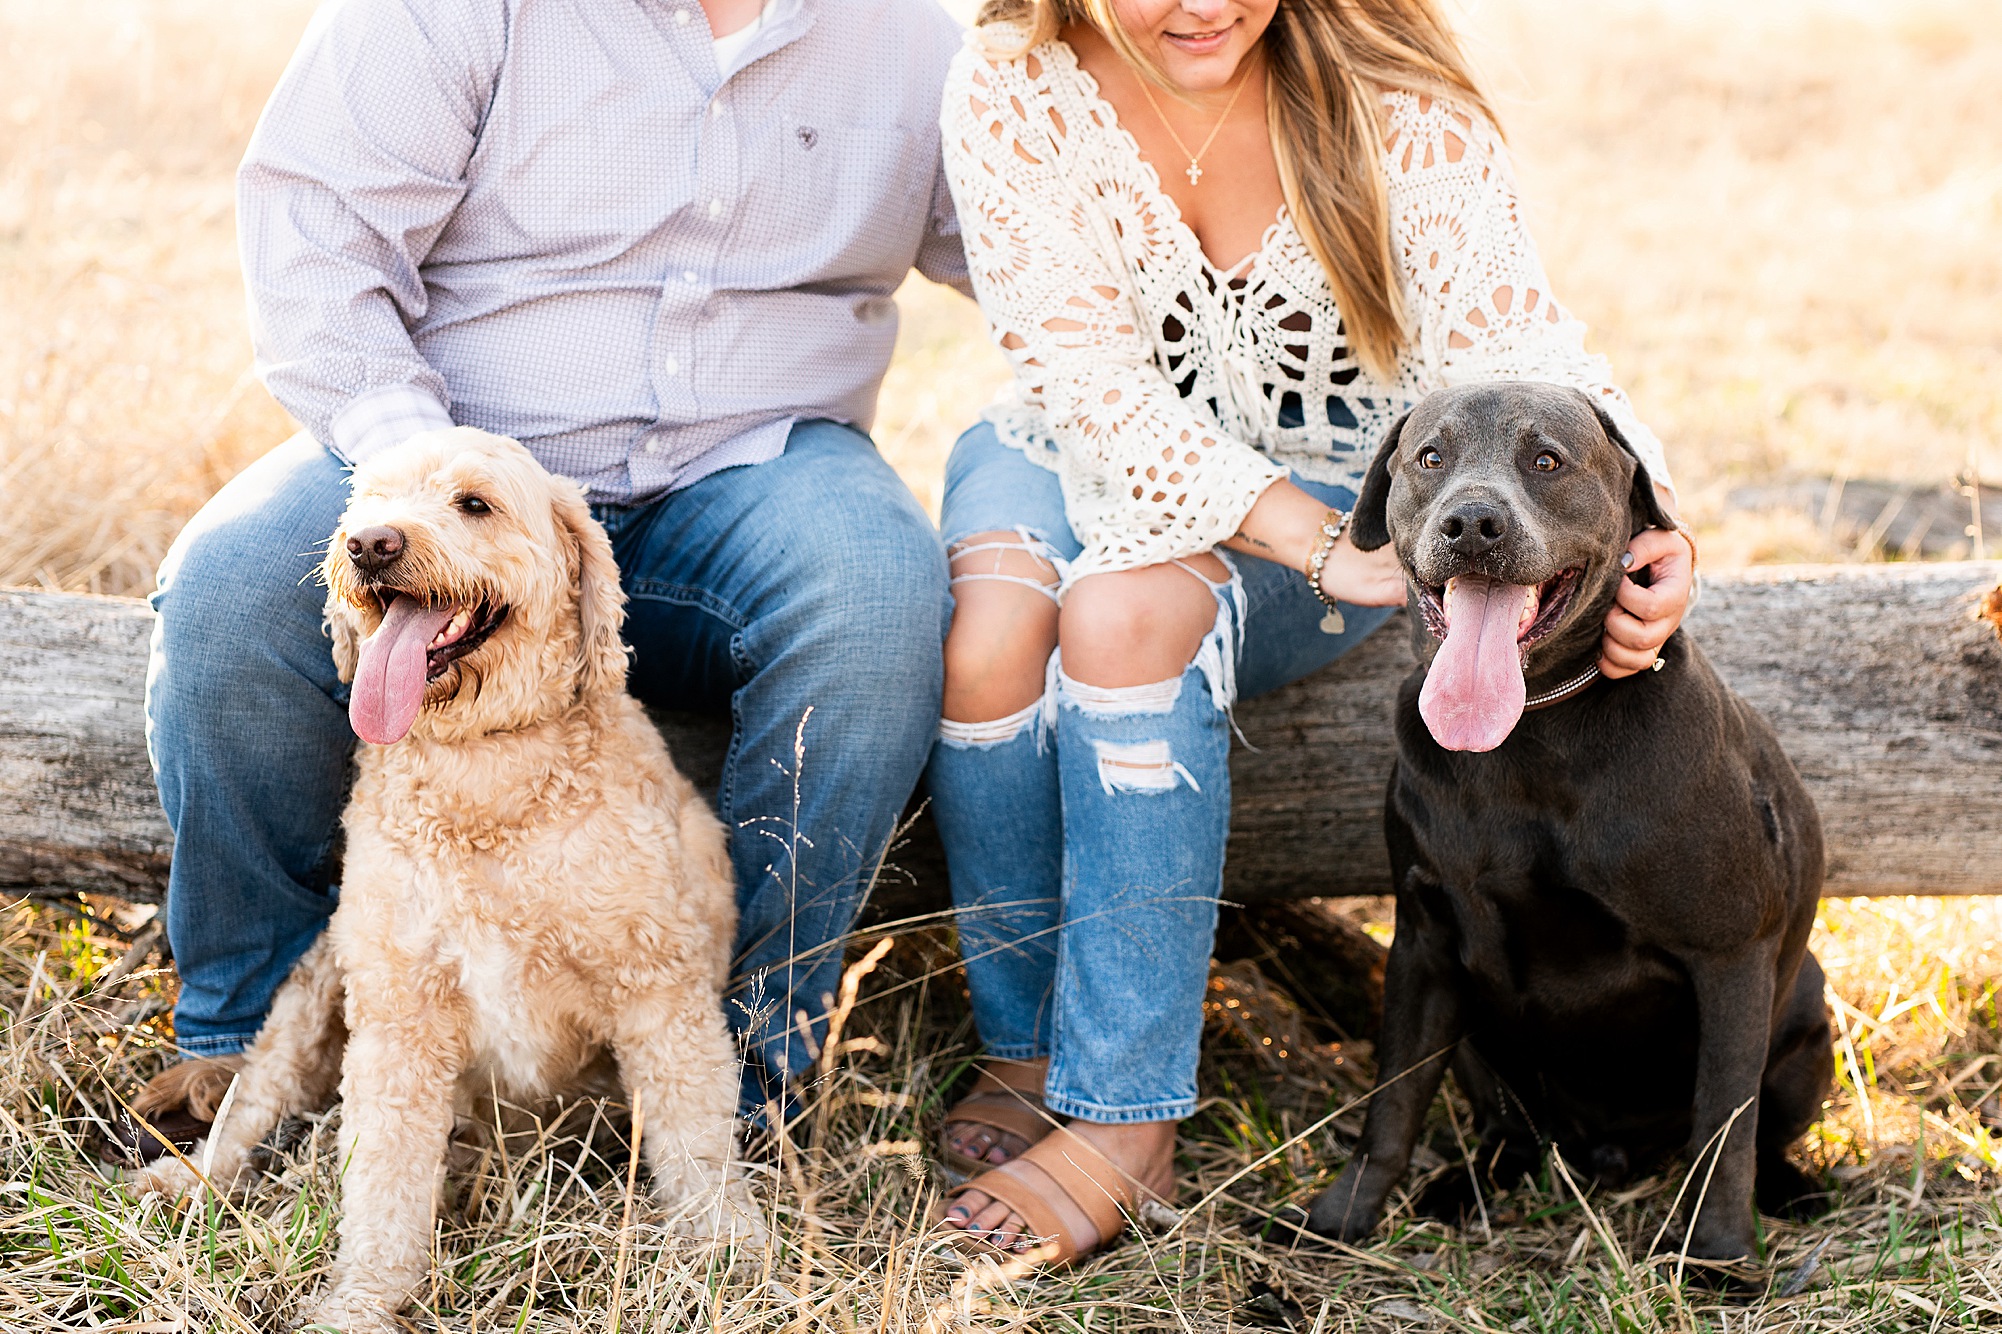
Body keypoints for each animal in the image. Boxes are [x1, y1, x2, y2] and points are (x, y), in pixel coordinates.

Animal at [136, 427, 757, 1330]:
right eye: (368, 501)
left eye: (474, 504)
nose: (369, 544)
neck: (485, 771)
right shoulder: (401, 1009)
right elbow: (383, 1177)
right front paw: (363, 1297)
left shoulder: (659, 989)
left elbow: (698, 1139)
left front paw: (731, 1255)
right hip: (316, 985)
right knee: (254, 1095)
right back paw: (187, 1178)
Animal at [1298, 383, 1833, 1262]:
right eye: (1430, 457)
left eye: (1546, 460)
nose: (1471, 523)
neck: (1529, 726)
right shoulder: (1423, 945)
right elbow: (1392, 1105)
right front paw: (1338, 1222)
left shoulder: (1729, 955)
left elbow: (1725, 1126)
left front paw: (1718, 1256)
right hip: (1481, 1049)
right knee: (1511, 1130)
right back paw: (1469, 1184)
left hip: (1808, 1014)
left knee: (1762, 1132)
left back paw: (1793, 1190)